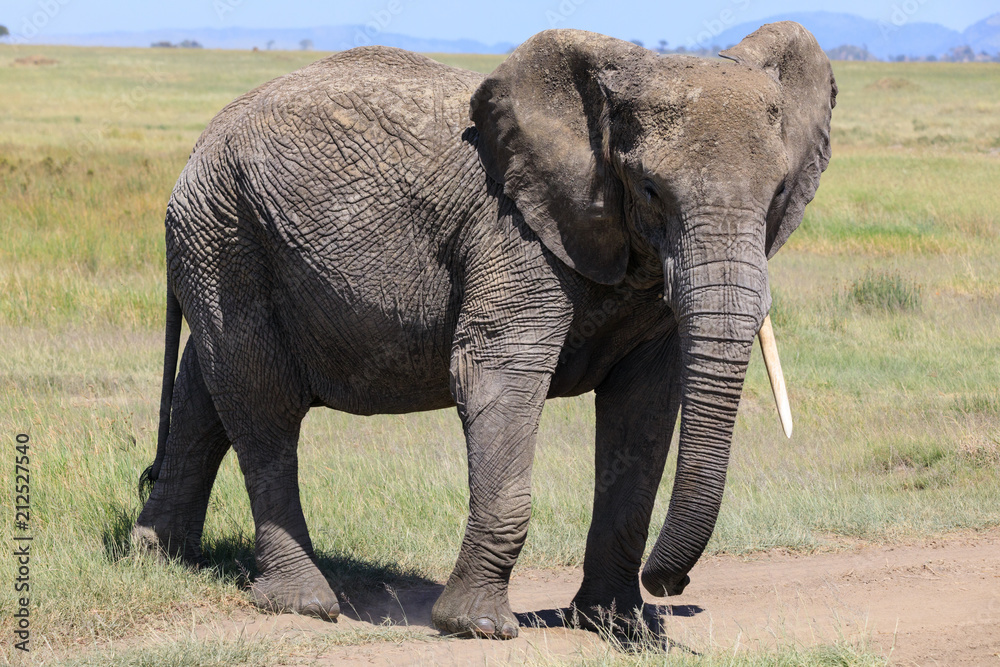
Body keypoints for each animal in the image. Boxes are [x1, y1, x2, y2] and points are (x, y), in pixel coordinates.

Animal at [133, 22, 835, 639]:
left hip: (218, 238)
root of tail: (199, 144)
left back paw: (160, 556)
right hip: (226, 230)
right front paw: (477, 628)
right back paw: (303, 603)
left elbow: (644, 409)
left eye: (778, 193)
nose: (671, 588)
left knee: (205, 387)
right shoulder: (511, 235)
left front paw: (614, 624)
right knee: (261, 400)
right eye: (650, 189)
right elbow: (497, 378)